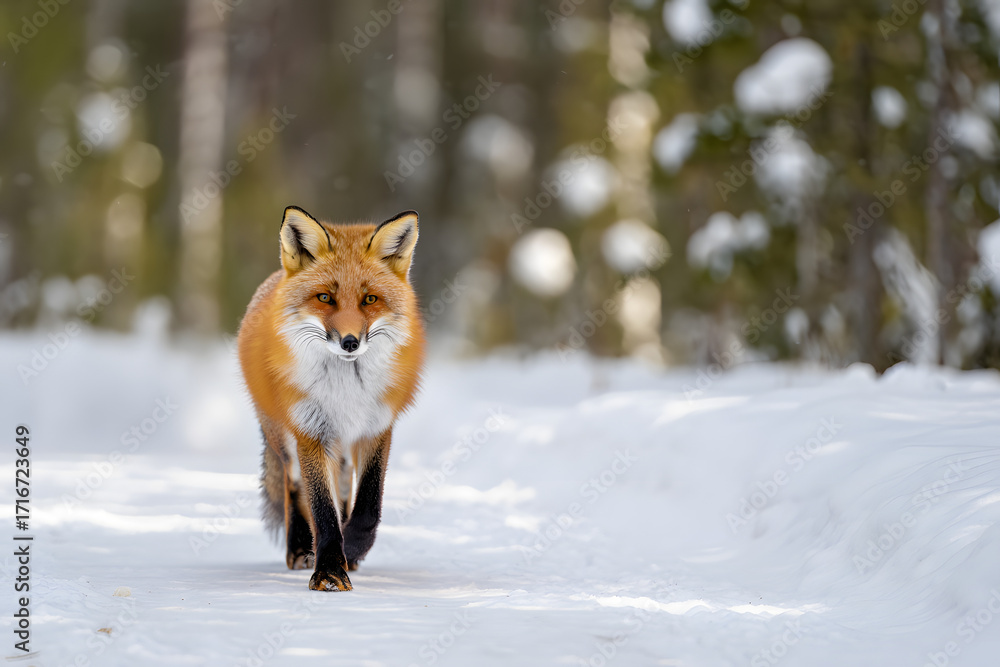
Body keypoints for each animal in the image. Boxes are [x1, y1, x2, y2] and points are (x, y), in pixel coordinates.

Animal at [238, 206, 425, 591]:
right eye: (325, 298)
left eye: (370, 299)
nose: (350, 342)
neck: (346, 392)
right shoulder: (312, 431)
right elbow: (321, 510)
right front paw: (328, 570)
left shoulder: (376, 428)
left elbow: (367, 507)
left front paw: (350, 549)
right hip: (285, 439)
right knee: (294, 487)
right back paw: (299, 548)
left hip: (343, 451)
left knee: (343, 492)